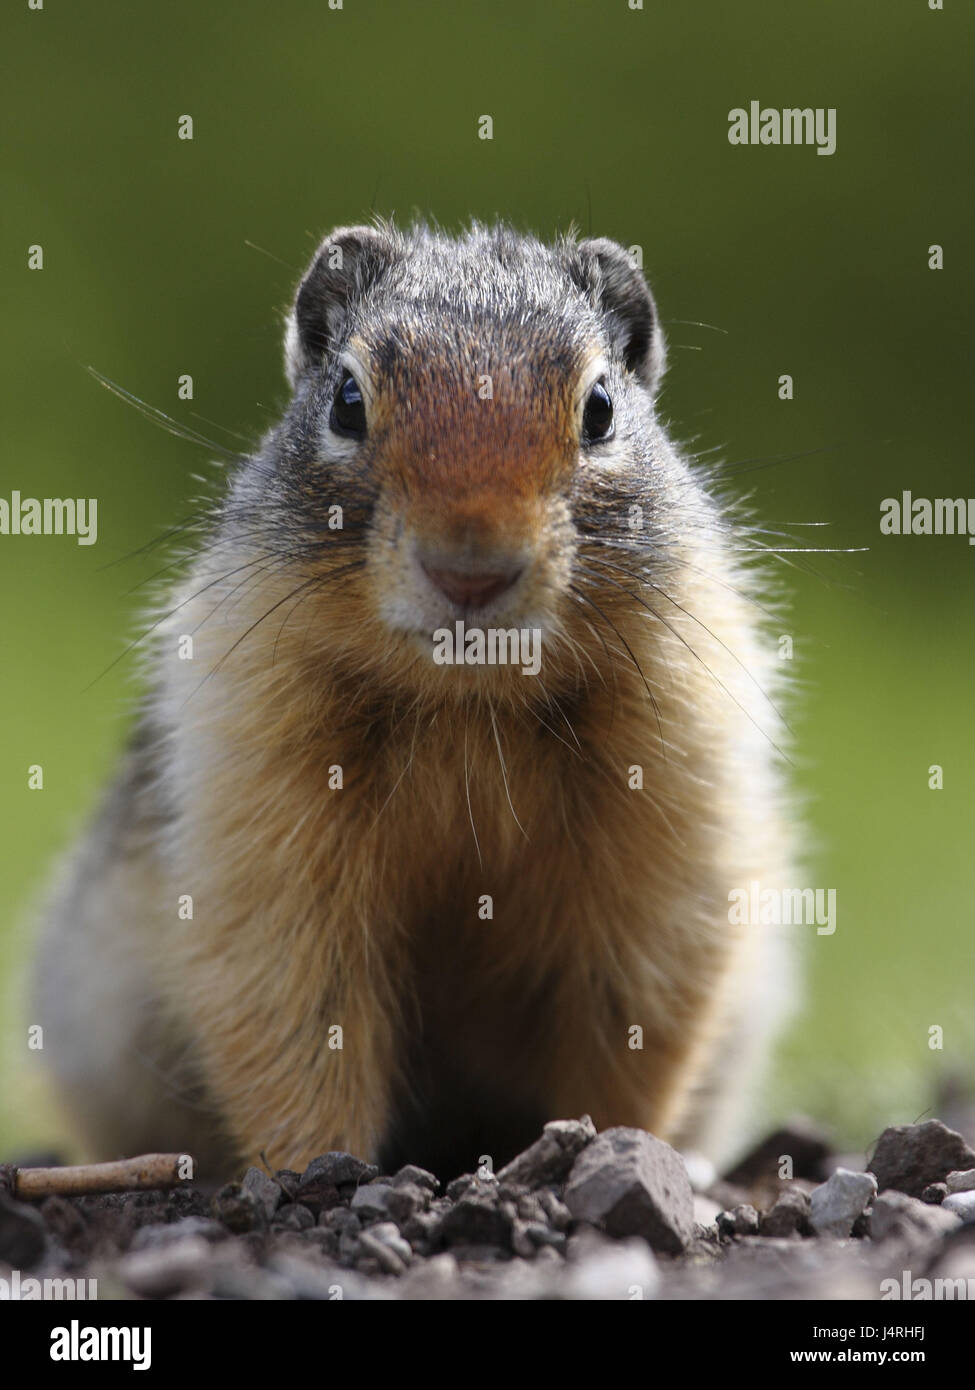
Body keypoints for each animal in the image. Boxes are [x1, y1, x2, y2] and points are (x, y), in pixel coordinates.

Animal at [34, 222, 795, 1178]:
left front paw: (617, 1145)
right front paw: (315, 1170)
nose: (469, 568)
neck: (468, 704)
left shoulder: (669, 820)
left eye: (599, 409)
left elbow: (634, 1022)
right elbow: (292, 1014)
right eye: (346, 401)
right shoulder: (257, 819)